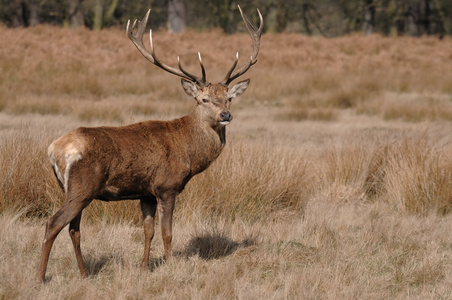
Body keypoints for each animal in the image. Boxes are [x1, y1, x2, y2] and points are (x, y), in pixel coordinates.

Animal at [37, 5, 264, 282]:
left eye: (229, 98)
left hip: (69, 188)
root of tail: (54, 150)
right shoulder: (167, 185)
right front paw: (170, 266)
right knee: (53, 223)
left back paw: (84, 273)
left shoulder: (145, 192)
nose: (225, 115)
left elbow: (148, 231)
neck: (188, 151)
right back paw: (40, 277)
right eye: (204, 99)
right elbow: (167, 232)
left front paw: (144, 268)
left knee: (73, 229)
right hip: (83, 185)